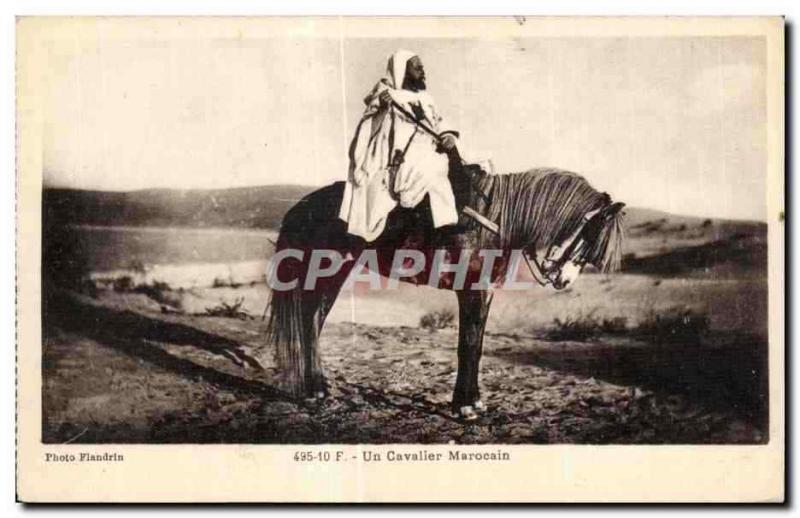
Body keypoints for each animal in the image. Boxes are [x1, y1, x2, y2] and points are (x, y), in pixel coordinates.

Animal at [262, 162, 624, 422]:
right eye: (591, 235)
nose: (563, 280)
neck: (495, 221)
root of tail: (306, 205)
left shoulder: (485, 294)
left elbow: (476, 346)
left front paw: (473, 402)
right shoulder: (471, 291)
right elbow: (467, 346)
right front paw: (464, 407)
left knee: (313, 323)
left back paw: (318, 388)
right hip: (329, 273)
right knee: (309, 322)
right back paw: (314, 391)